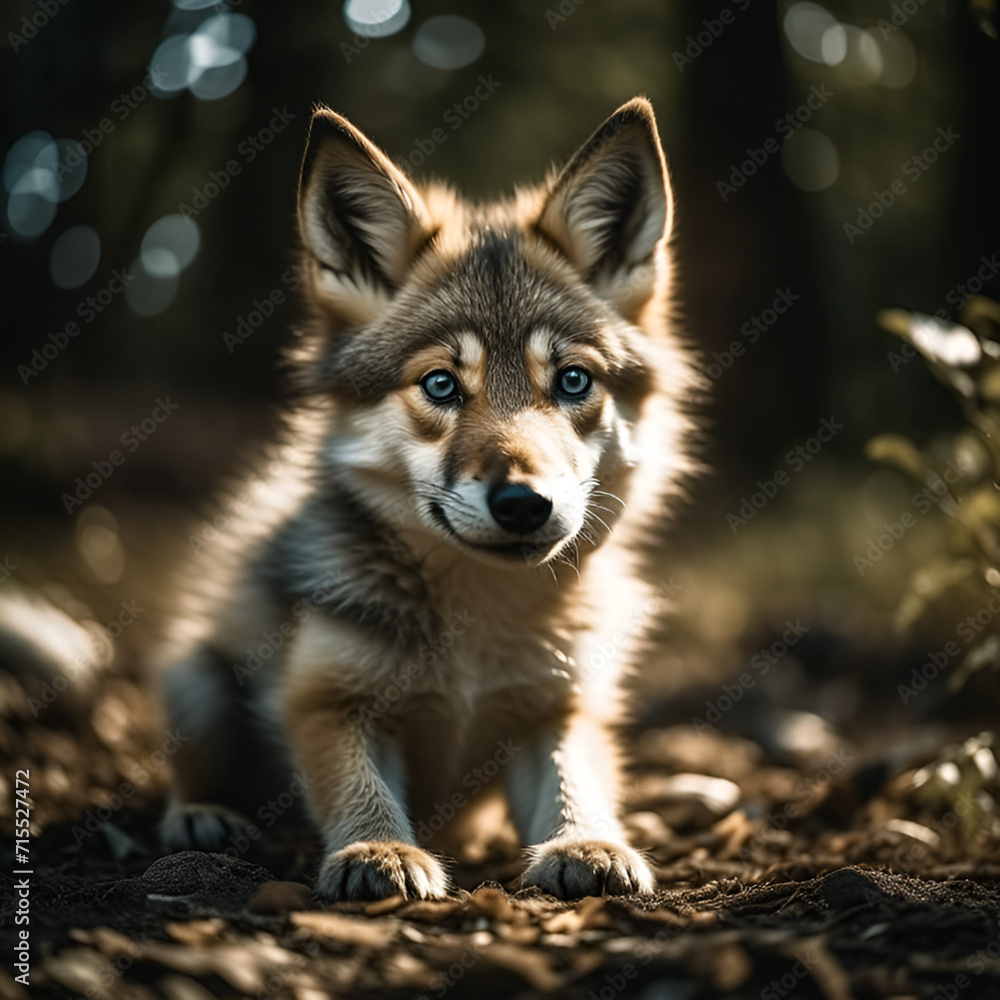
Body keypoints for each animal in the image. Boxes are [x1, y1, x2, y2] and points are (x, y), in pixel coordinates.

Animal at [160, 96, 700, 901]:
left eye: (573, 380)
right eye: (441, 384)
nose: (524, 503)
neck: (478, 625)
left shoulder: (561, 707)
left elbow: (576, 780)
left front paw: (588, 843)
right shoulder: (325, 701)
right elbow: (359, 787)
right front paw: (378, 850)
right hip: (196, 684)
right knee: (189, 773)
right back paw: (200, 817)